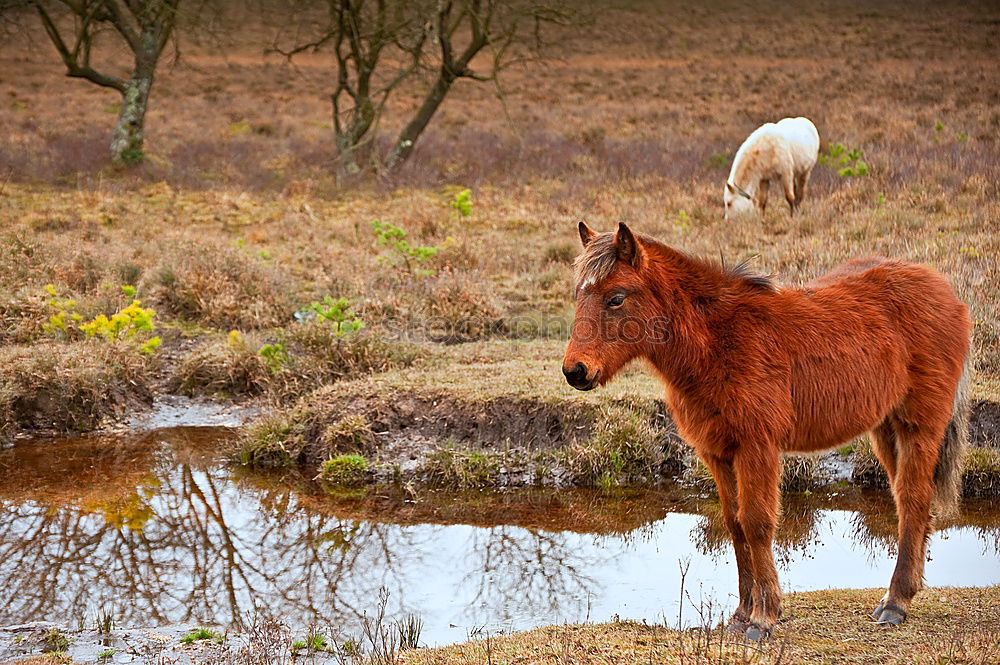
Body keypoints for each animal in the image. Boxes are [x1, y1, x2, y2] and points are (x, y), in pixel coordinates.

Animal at [564, 222, 968, 640]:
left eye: (616, 298)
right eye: (579, 294)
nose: (575, 371)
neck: (718, 342)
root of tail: (941, 288)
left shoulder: (756, 448)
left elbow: (757, 524)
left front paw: (764, 617)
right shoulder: (718, 452)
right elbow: (734, 525)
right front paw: (742, 613)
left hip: (919, 427)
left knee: (914, 500)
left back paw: (896, 602)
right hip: (886, 430)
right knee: (906, 501)